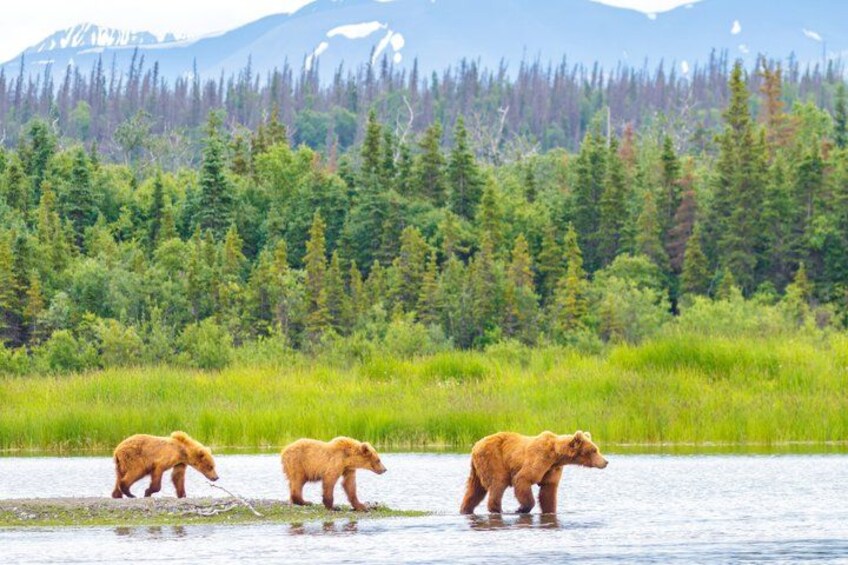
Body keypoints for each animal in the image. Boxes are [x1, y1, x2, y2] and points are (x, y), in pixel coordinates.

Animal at [459, 430, 607, 515]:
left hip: (477, 468)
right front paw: (521, 508)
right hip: (493, 459)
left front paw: (549, 511)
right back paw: (497, 510)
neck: (556, 456)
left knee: (475, 489)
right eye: (594, 450)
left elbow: (548, 492)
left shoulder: (551, 469)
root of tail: (475, 445)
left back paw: (465, 509)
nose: (605, 462)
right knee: (498, 483)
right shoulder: (540, 458)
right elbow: (523, 478)